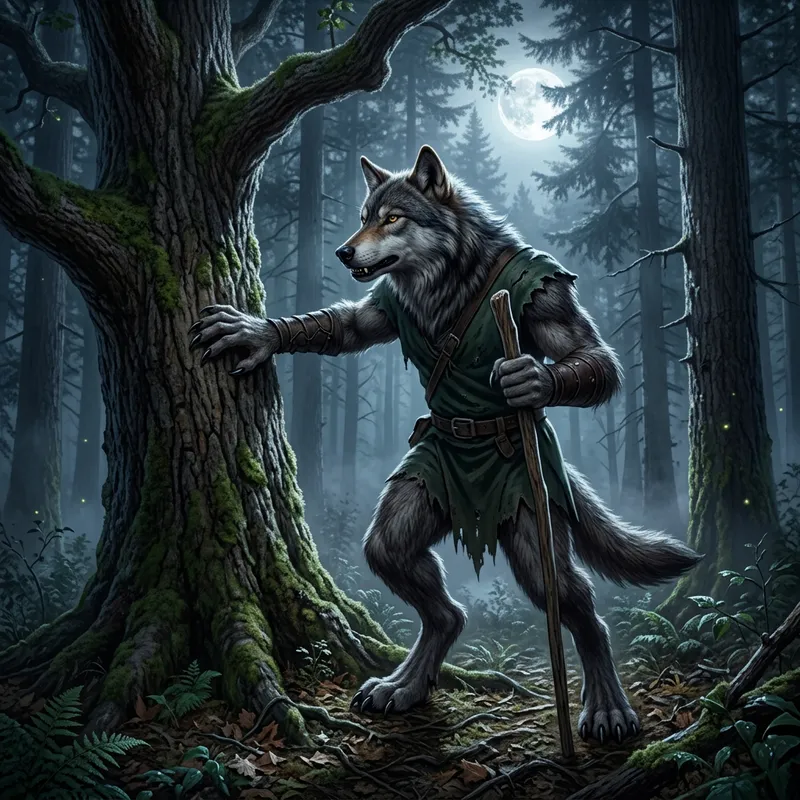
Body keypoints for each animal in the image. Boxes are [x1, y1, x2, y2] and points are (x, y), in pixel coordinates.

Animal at [191, 145, 701, 744]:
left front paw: (530, 379)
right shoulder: (380, 309)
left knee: (584, 612)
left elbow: (593, 356)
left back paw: (607, 709)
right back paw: (403, 687)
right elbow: (343, 325)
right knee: (437, 602)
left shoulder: (550, 297)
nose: (343, 251)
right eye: (364, 216)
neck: (448, 279)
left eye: (393, 218)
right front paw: (259, 334)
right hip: (416, 504)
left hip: (533, 532)